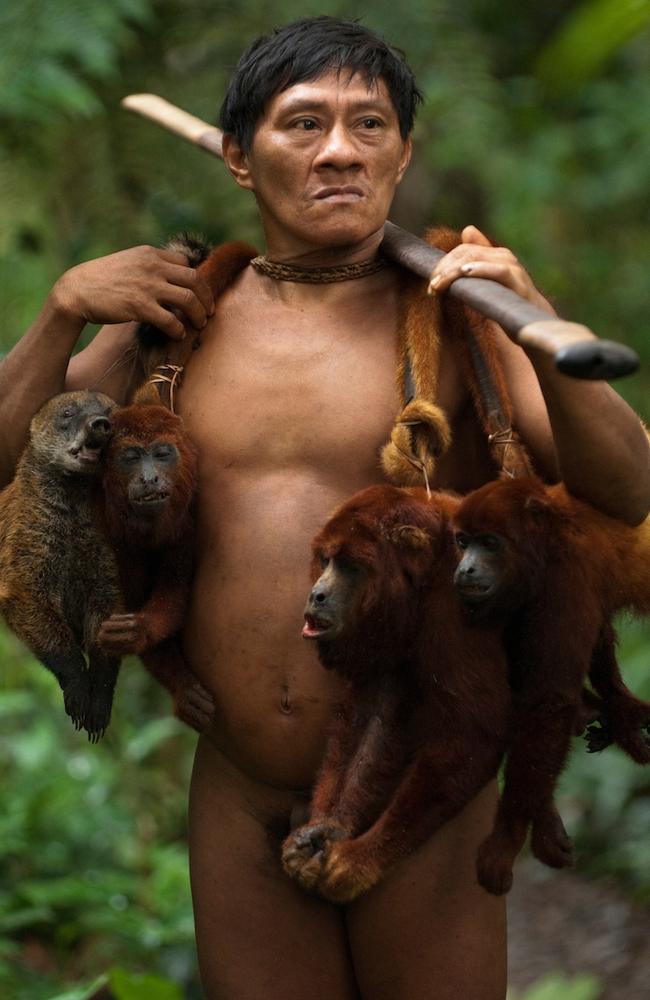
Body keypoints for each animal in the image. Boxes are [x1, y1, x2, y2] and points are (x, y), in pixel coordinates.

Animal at [97, 392, 213, 736]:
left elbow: (174, 593)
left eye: (162, 454)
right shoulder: (113, 532)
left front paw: (138, 630)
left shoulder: (185, 527)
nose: (149, 478)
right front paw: (182, 686)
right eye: (131, 458)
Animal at [450, 474, 648, 892]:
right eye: (462, 541)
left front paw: (507, 837)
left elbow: (549, 701)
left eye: (489, 543)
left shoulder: (565, 580)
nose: (465, 569)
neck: (548, 539)